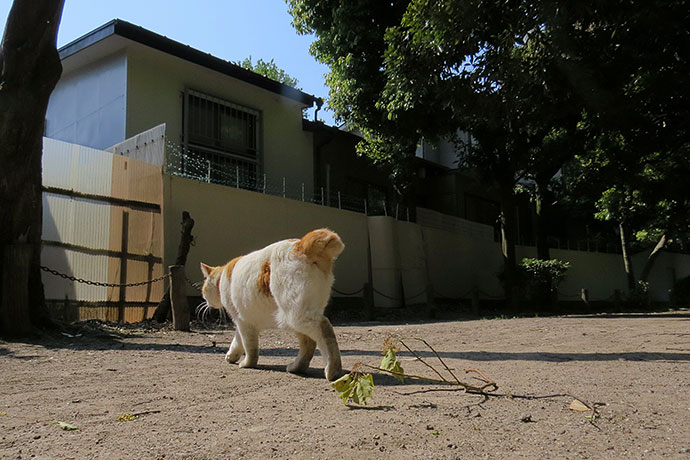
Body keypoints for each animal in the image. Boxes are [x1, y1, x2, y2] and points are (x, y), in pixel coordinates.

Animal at [199, 227, 344, 380]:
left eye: (203, 290)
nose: (205, 301)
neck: (222, 278)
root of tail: (301, 244)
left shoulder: (244, 323)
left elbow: (250, 347)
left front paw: (247, 363)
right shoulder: (243, 321)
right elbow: (237, 341)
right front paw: (231, 355)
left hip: (296, 316)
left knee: (324, 328)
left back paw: (332, 370)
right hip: (293, 318)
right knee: (309, 342)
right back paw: (296, 367)